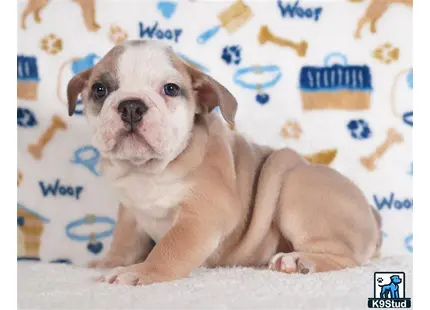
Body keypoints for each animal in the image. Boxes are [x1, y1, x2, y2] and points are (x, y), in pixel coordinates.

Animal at [65, 39, 382, 286]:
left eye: (170, 89)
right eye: (100, 89)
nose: (131, 105)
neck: (147, 170)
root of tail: (373, 215)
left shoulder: (202, 214)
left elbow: (170, 247)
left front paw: (140, 271)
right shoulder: (131, 212)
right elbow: (124, 239)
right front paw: (110, 261)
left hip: (295, 188)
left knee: (344, 257)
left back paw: (300, 260)